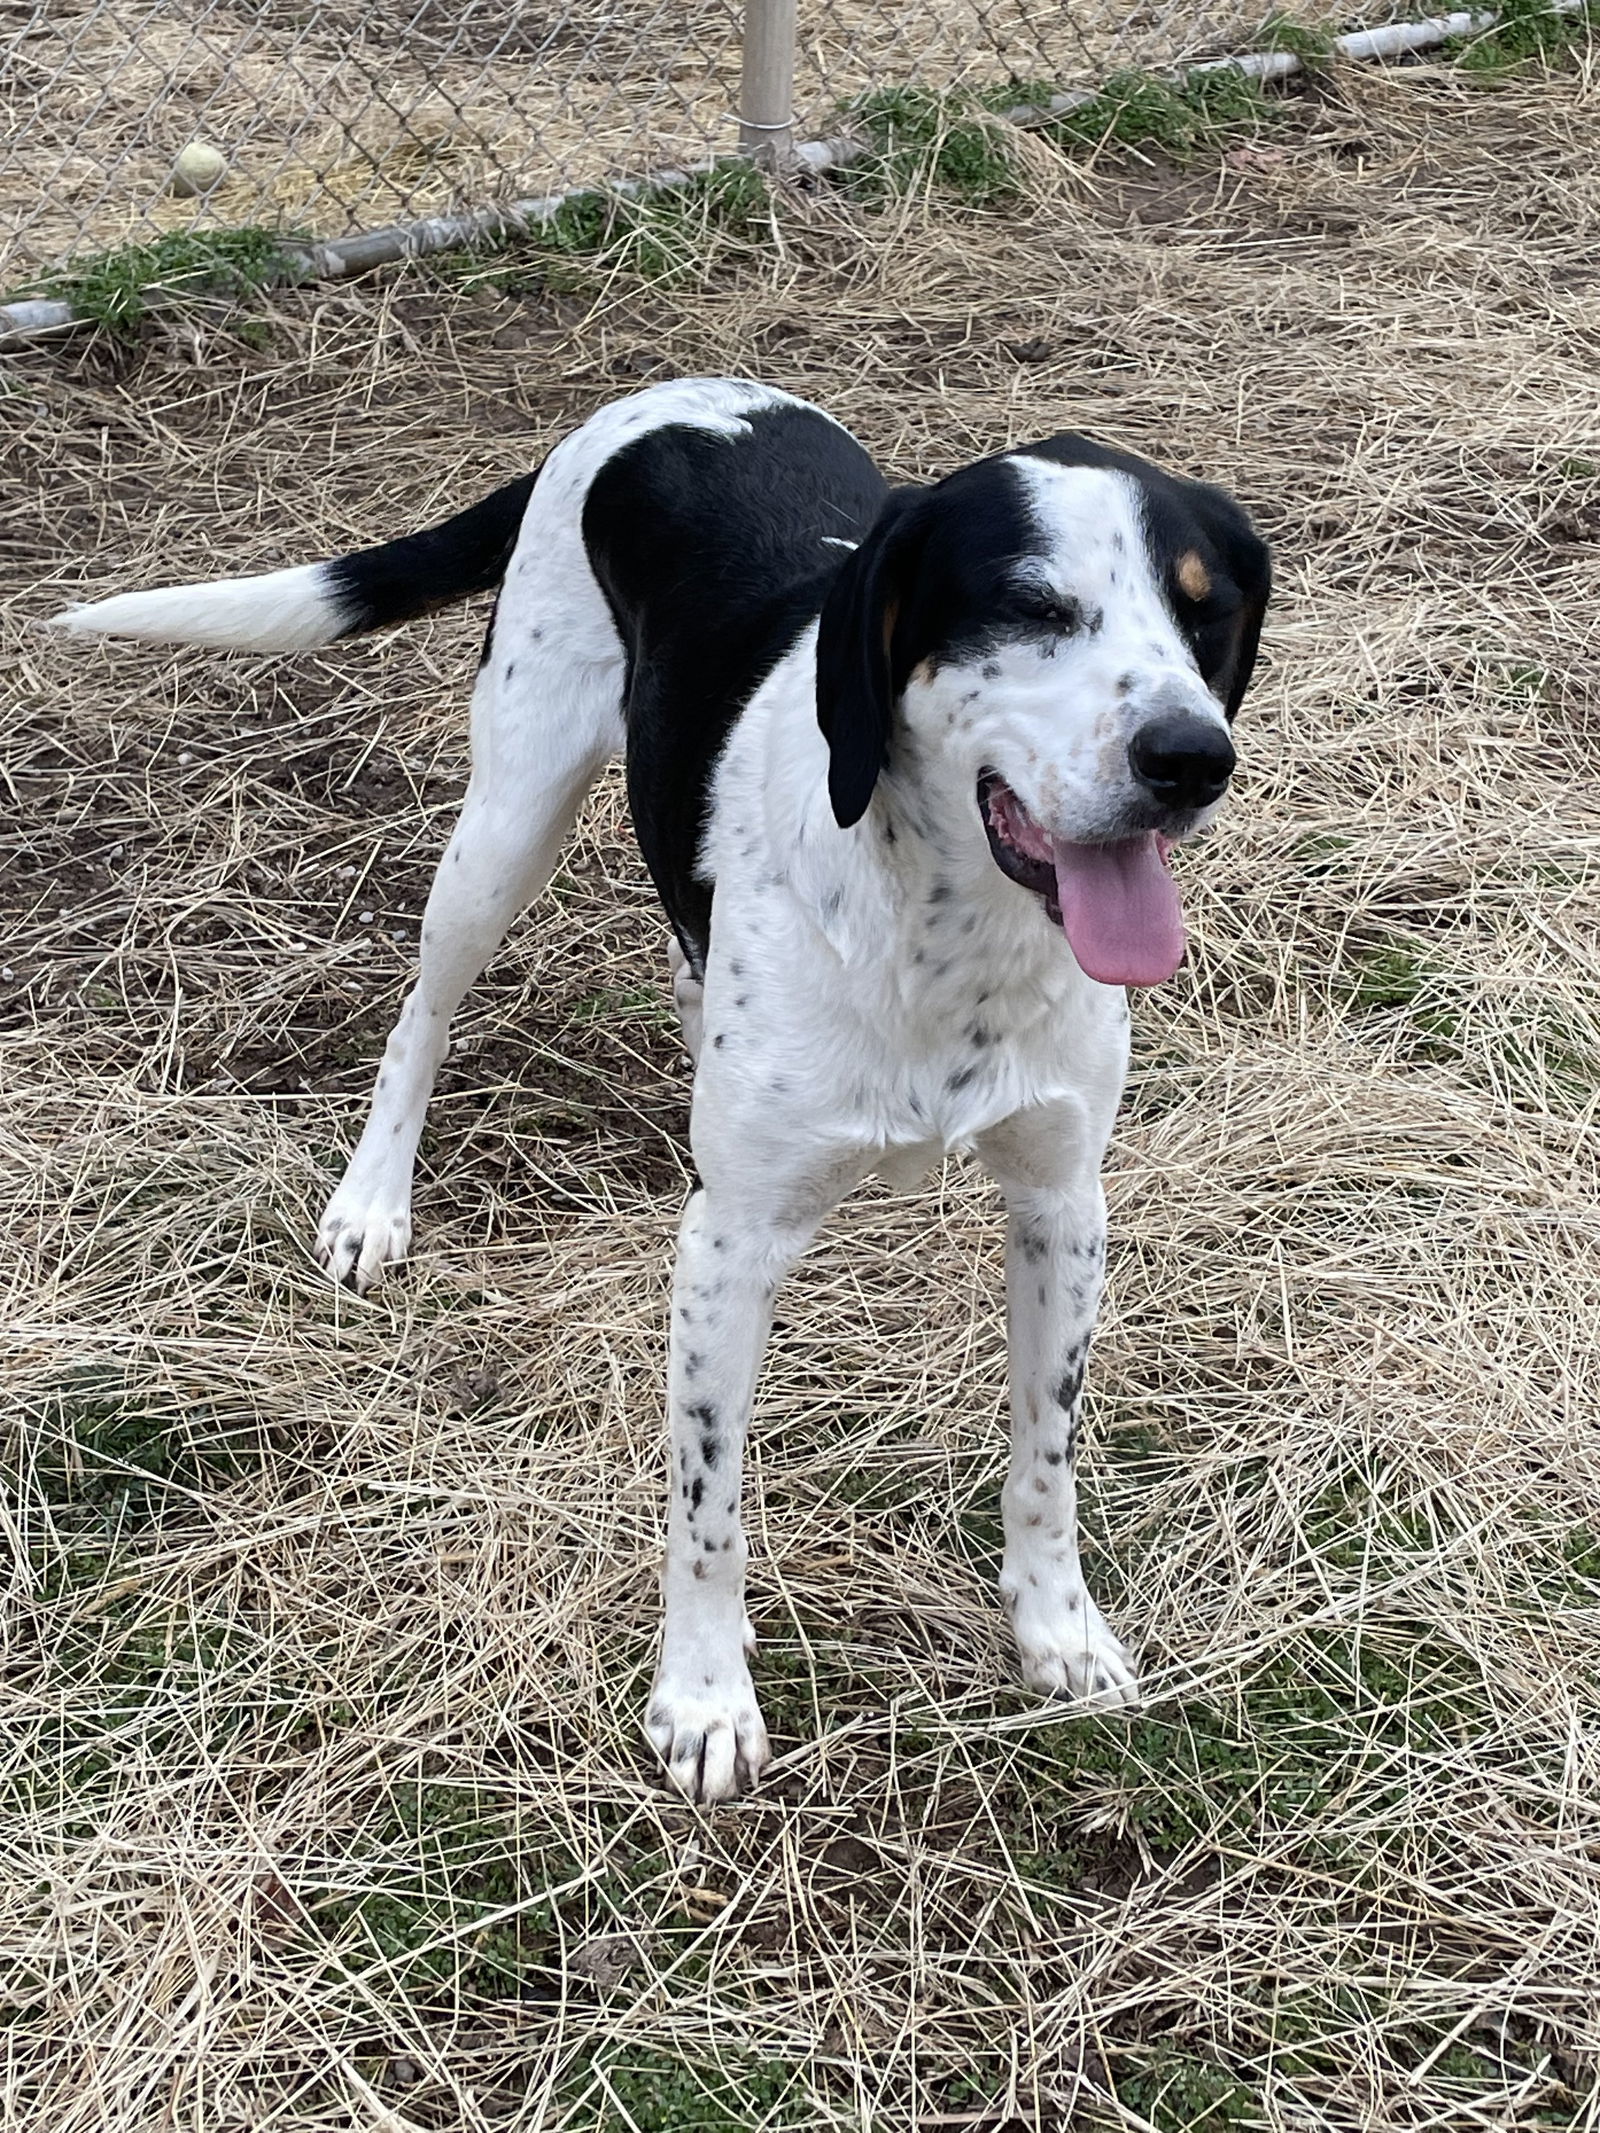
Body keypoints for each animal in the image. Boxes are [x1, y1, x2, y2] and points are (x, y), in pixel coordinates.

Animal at [50, 379, 1271, 1800]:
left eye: (1204, 615)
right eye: (1029, 605)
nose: (1192, 757)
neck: (947, 928)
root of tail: (663, 396)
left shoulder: (1062, 1207)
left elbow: (1045, 1459)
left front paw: (1057, 1629)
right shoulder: (729, 1252)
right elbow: (708, 1504)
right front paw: (702, 1695)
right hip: (507, 821)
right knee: (422, 1014)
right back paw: (373, 1201)